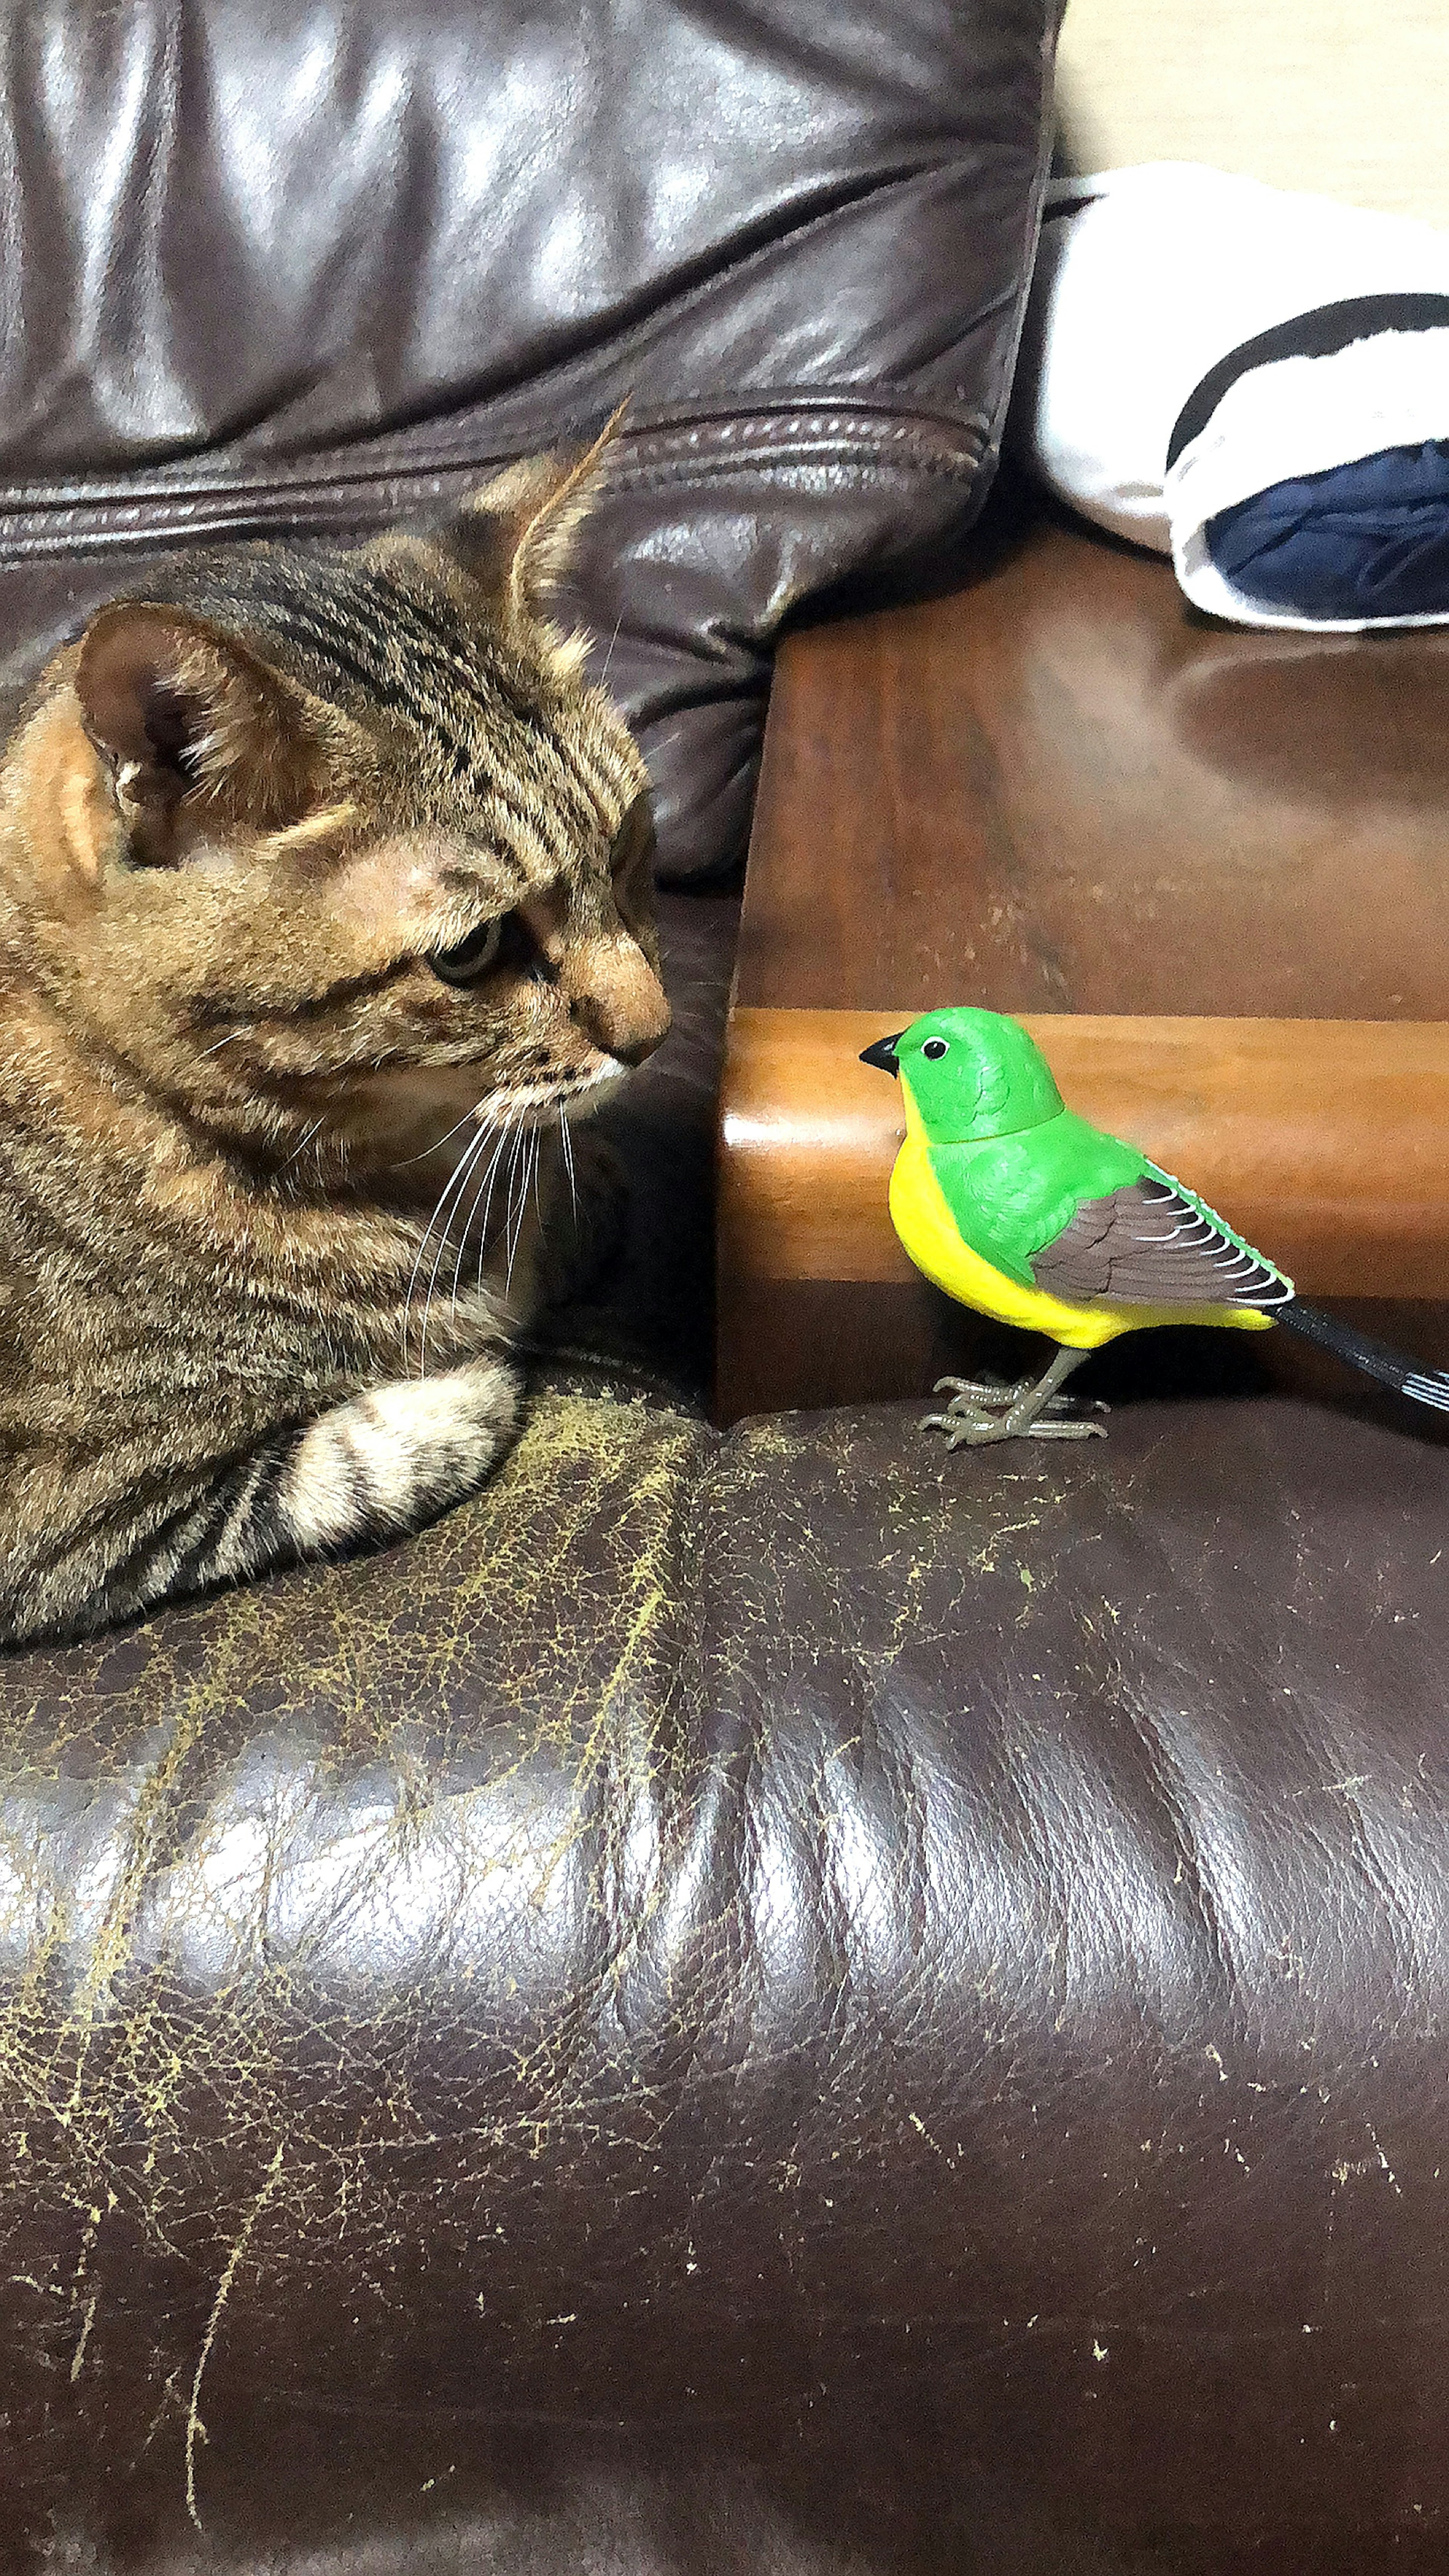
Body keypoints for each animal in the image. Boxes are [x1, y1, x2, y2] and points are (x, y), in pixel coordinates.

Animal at [0, 435, 674, 1648]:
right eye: (472, 951)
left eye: (628, 845)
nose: (657, 1032)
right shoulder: (76, 1523)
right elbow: (367, 1454)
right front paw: (478, 1362)